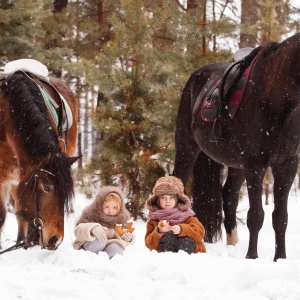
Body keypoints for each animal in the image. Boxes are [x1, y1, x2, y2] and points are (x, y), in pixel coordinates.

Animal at [172, 34, 300, 262]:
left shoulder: (287, 164)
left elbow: (280, 217)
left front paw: (280, 258)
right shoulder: (255, 164)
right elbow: (256, 215)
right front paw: (252, 257)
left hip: (236, 164)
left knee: (228, 195)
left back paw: (233, 245)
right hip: (187, 148)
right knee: (178, 182)